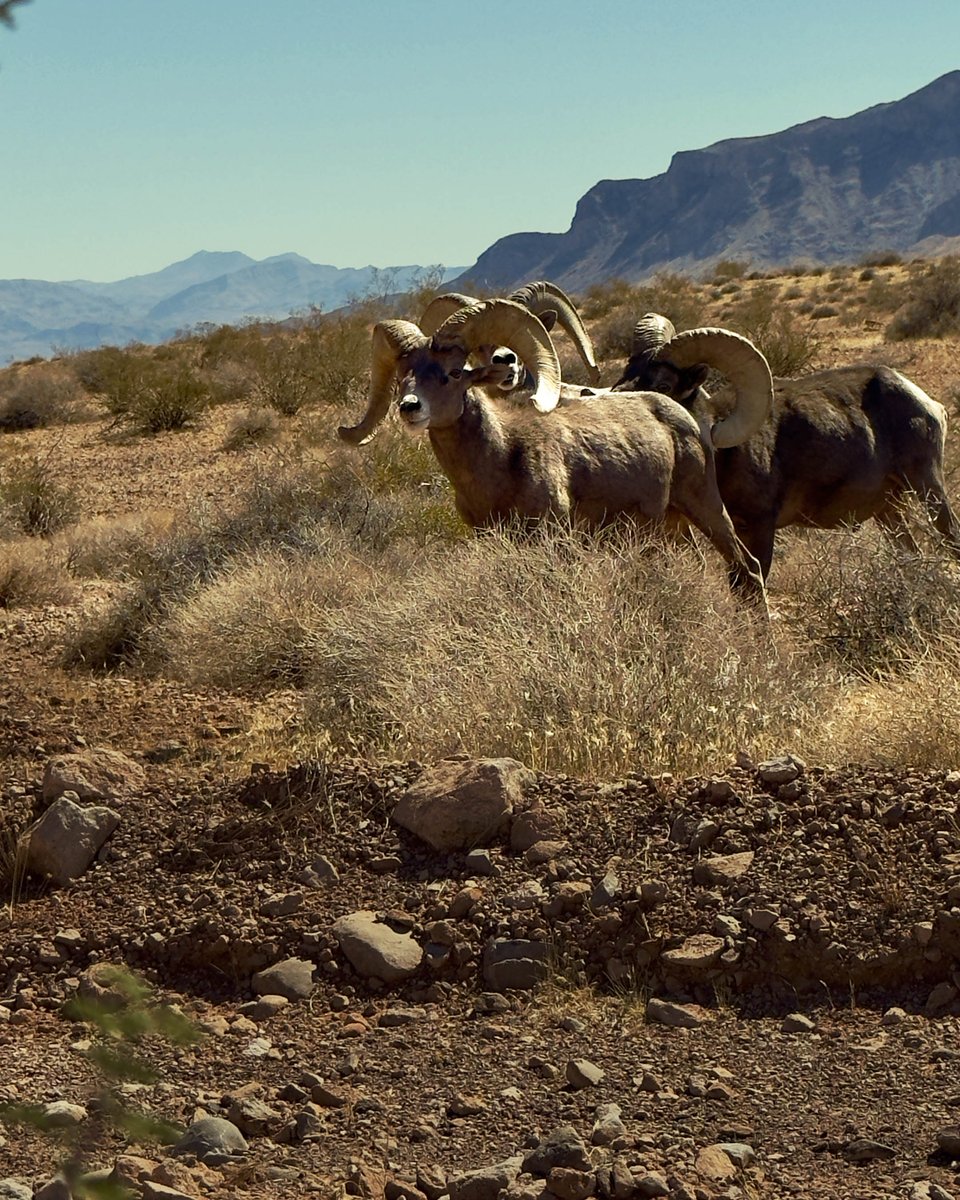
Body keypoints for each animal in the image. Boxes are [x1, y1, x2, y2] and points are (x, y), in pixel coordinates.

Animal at [337, 298, 773, 604]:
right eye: (403, 377)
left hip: (706, 507)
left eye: (454, 373)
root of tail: (683, 416)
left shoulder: (554, 539)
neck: (502, 459)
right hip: (669, 526)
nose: (410, 408)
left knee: (748, 570)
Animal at [612, 313, 960, 583]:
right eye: (627, 374)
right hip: (889, 510)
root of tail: (926, 402)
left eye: (663, 385)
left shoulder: (759, 527)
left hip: (927, 487)